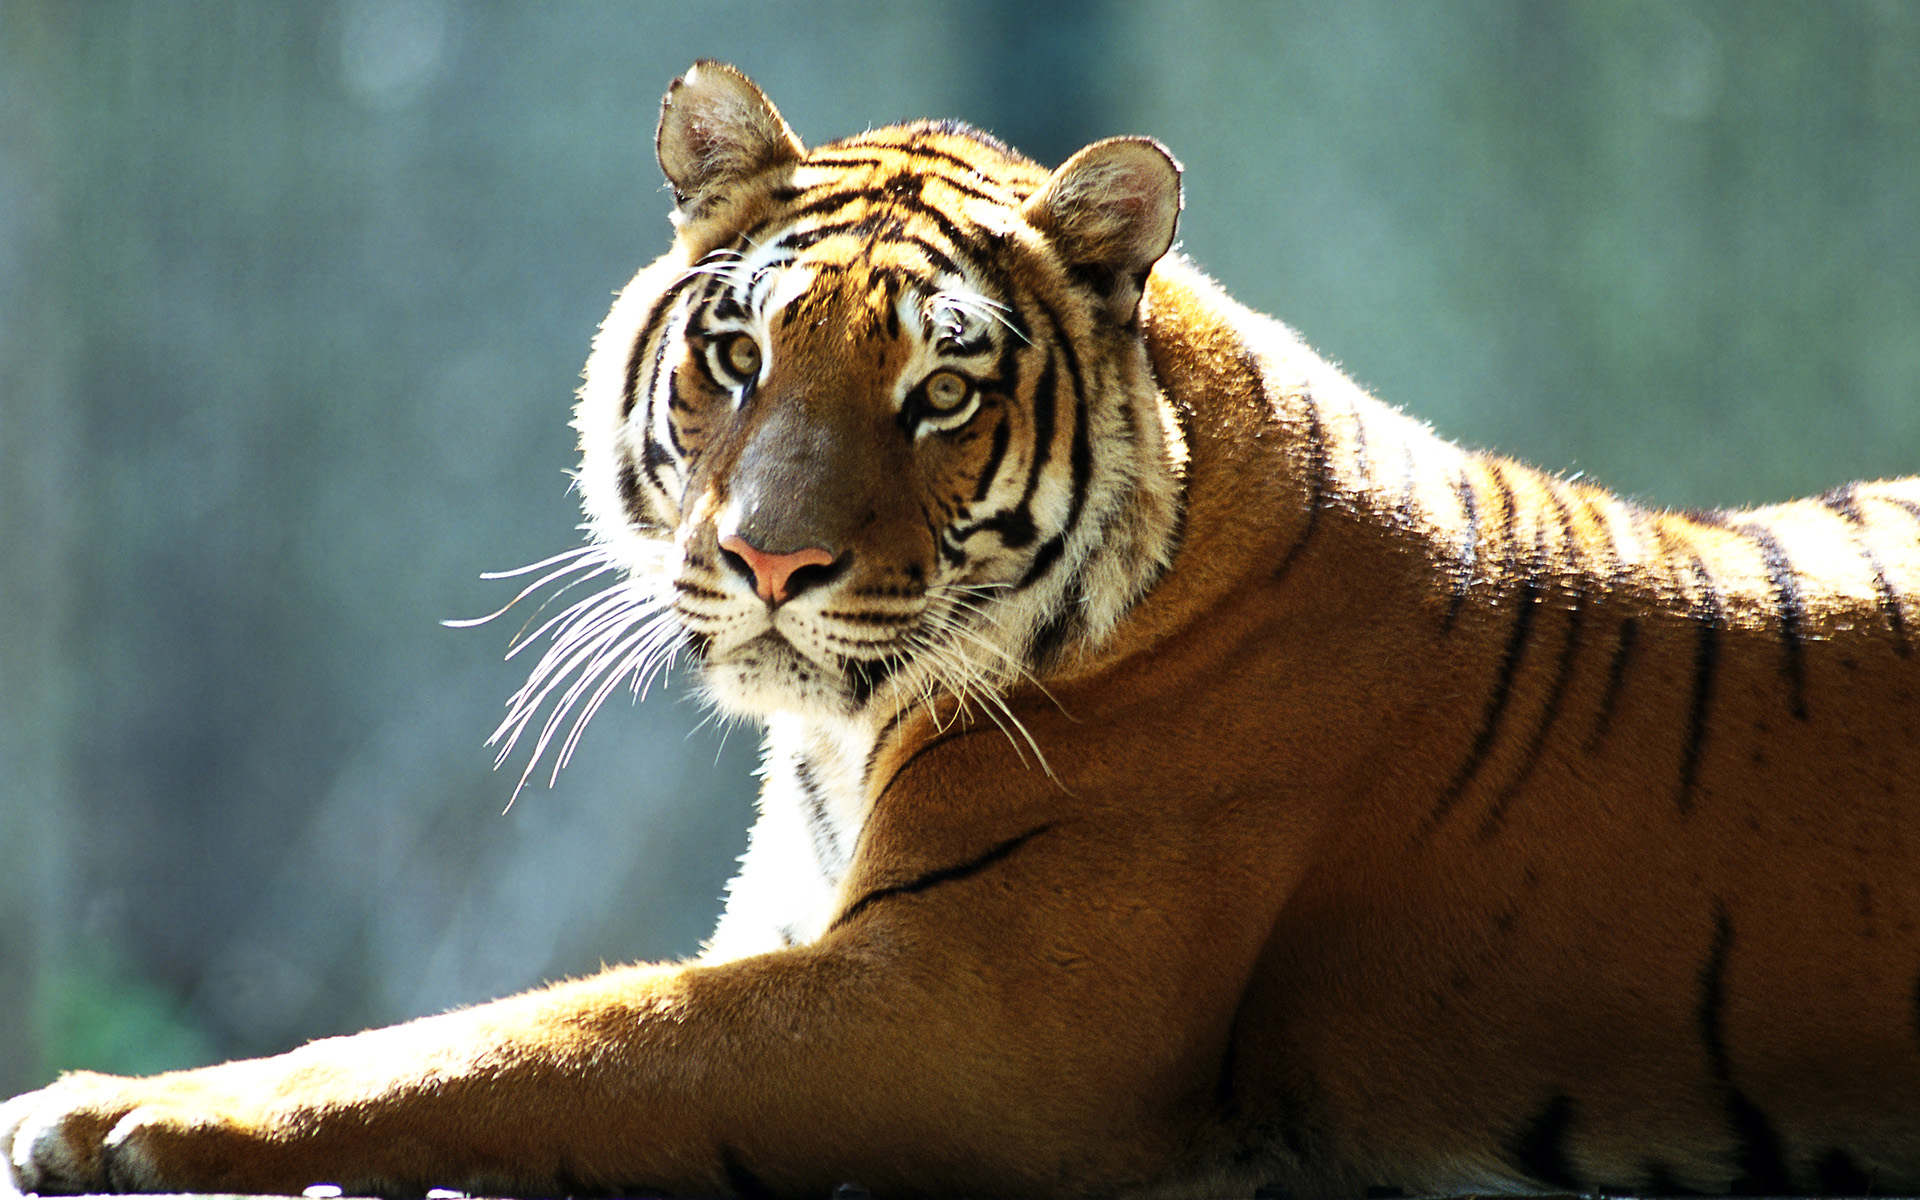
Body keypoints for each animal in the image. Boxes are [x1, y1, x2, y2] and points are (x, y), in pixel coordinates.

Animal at [7, 58, 1920, 1200]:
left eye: (939, 392)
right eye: (737, 356)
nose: (771, 563)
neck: (834, 738)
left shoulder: (963, 1007)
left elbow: (534, 1040)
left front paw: (133, 1114)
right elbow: (523, 1020)